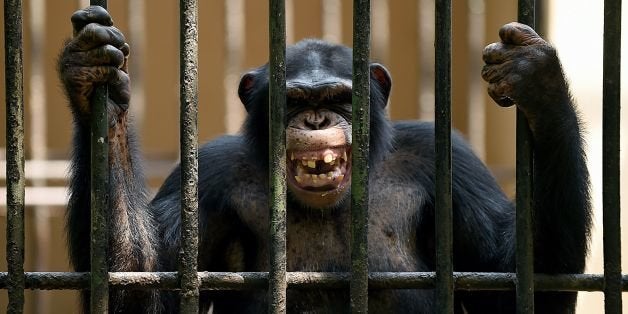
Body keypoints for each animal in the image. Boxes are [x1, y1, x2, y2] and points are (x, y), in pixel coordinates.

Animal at [57, 4, 588, 314]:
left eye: (337, 97)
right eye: (293, 101)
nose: (315, 120)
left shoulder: (450, 162)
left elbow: (520, 279)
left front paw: (538, 82)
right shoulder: (208, 174)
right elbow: (138, 287)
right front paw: (94, 78)